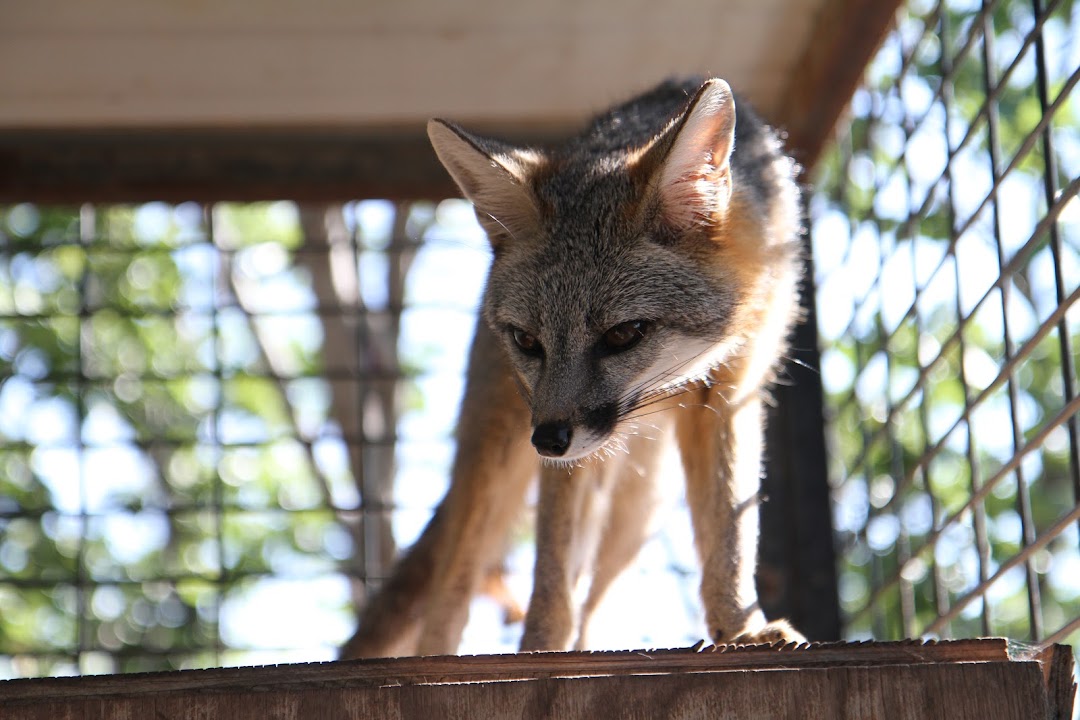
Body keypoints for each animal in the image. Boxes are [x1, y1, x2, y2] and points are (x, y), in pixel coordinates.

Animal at [341, 78, 807, 660]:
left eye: (623, 334)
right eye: (527, 340)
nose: (547, 440)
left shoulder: (730, 394)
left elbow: (731, 527)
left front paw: (740, 628)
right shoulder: (559, 442)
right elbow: (552, 571)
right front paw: (539, 650)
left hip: (639, 508)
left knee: (595, 594)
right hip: (497, 455)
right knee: (453, 587)